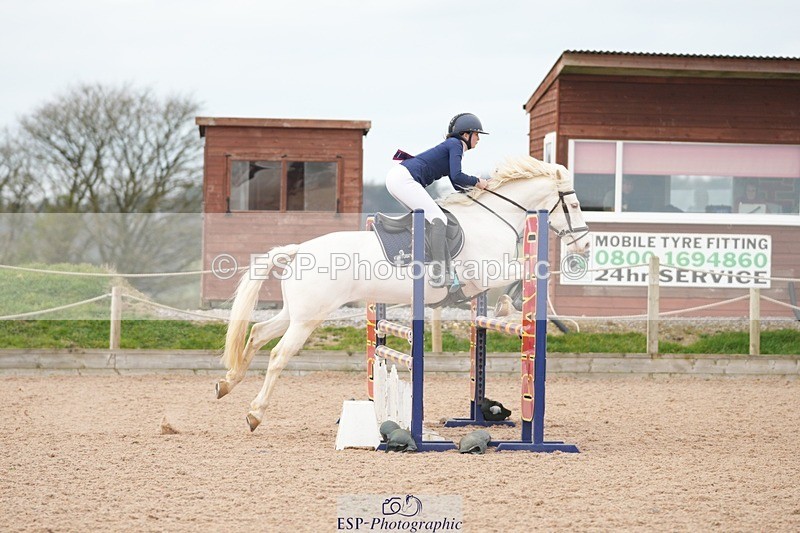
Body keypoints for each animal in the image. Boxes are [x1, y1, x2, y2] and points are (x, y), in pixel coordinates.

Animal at [215, 155, 591, 432]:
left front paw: (512, 311)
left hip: (297, 313)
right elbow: (523, 277)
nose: (585, 246)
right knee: (279, 355)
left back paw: (228, 383)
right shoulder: (488, 272)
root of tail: (298, 250)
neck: (492, 219)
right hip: (309, 318)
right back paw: (255, 413)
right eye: (573, 204)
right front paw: (515, 311)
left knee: (258, 332)